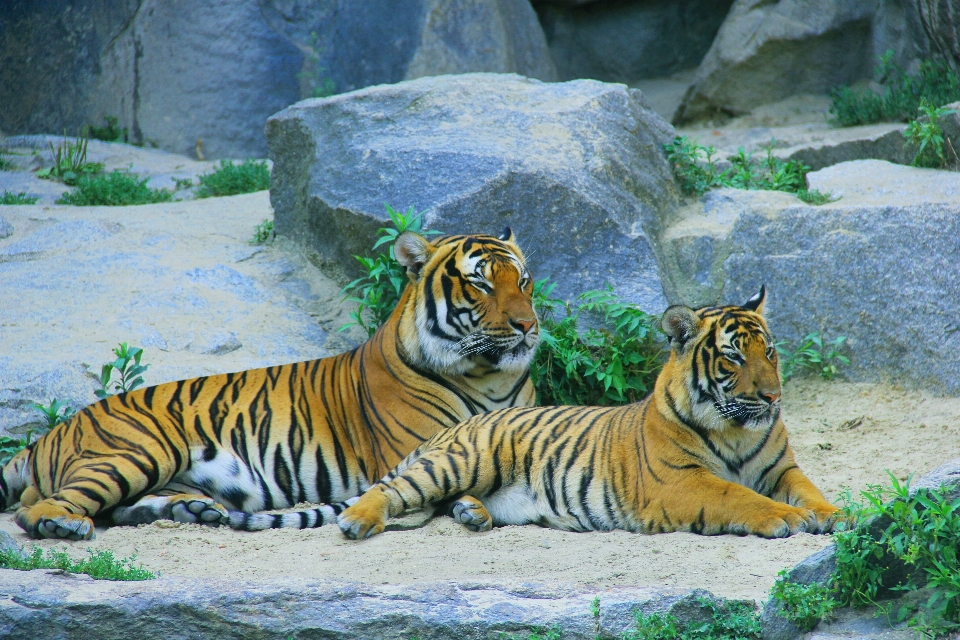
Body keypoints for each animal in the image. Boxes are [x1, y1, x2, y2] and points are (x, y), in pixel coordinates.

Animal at [0, 228, 540, 536]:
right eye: (480, 283)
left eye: (523, 280)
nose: (527, 325)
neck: (489, 376)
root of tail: (53, 432)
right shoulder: (415, 452)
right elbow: (444, 484)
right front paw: (471, 507)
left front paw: (478, 510)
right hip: (136, 452)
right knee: (33, 509)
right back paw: (65, 525)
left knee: (121, 509)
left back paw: (197, 511)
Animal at [334, 288, 836, 544]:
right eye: (733, 357)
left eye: (768, 351)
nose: (773, 397)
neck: (737, 431)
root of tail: (460, 423)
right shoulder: (681, 481)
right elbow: (738, 496)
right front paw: (789, 519)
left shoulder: (781, 469)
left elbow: (809, 489)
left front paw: (834, 514)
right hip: (461, 461)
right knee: (392, 489)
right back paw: (358, 521)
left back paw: (473, 513)